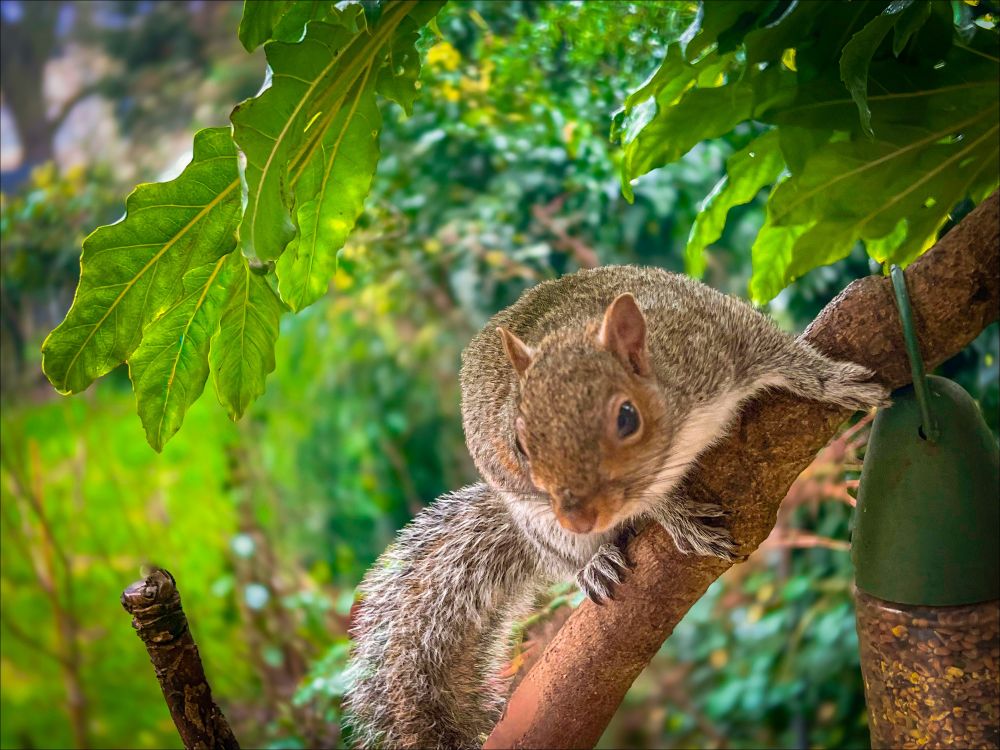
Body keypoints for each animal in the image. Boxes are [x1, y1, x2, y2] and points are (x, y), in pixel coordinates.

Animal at [344, 265, 888, 749]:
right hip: (538, 523)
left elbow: (781, 351)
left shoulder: (717, 339)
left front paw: (832, 381)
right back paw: (594, 562)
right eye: (519, 444)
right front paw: (675, 516)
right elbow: (651, 500)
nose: (580, 517)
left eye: (626, 418)